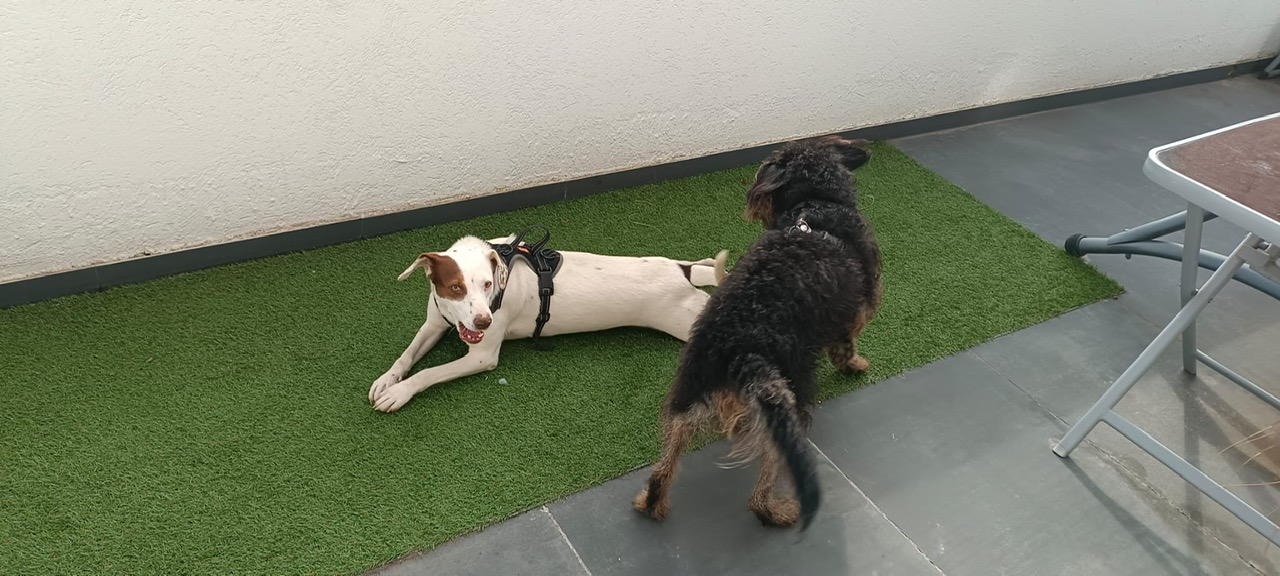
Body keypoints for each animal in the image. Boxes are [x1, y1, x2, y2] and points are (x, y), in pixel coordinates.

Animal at [368, 233, 728, 412]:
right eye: (456, 287)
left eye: (487, 284)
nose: (484, 321)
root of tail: (679, 275)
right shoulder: (434, 325)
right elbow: (406, 356)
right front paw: (387, 380)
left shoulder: (482, 357)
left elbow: (427, 372)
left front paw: (399, 392)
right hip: (678, 267)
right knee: (700, 266)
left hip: (689, 318)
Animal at [633, 136, 882, 531]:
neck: (815, 209)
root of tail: (738, 345)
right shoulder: (858, 306)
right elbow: (846, 345)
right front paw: (855, 365)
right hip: (788, 396)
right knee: (767, 477)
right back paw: (775, 510)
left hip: (691, 385)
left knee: (672, 447)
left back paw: (653, 501)